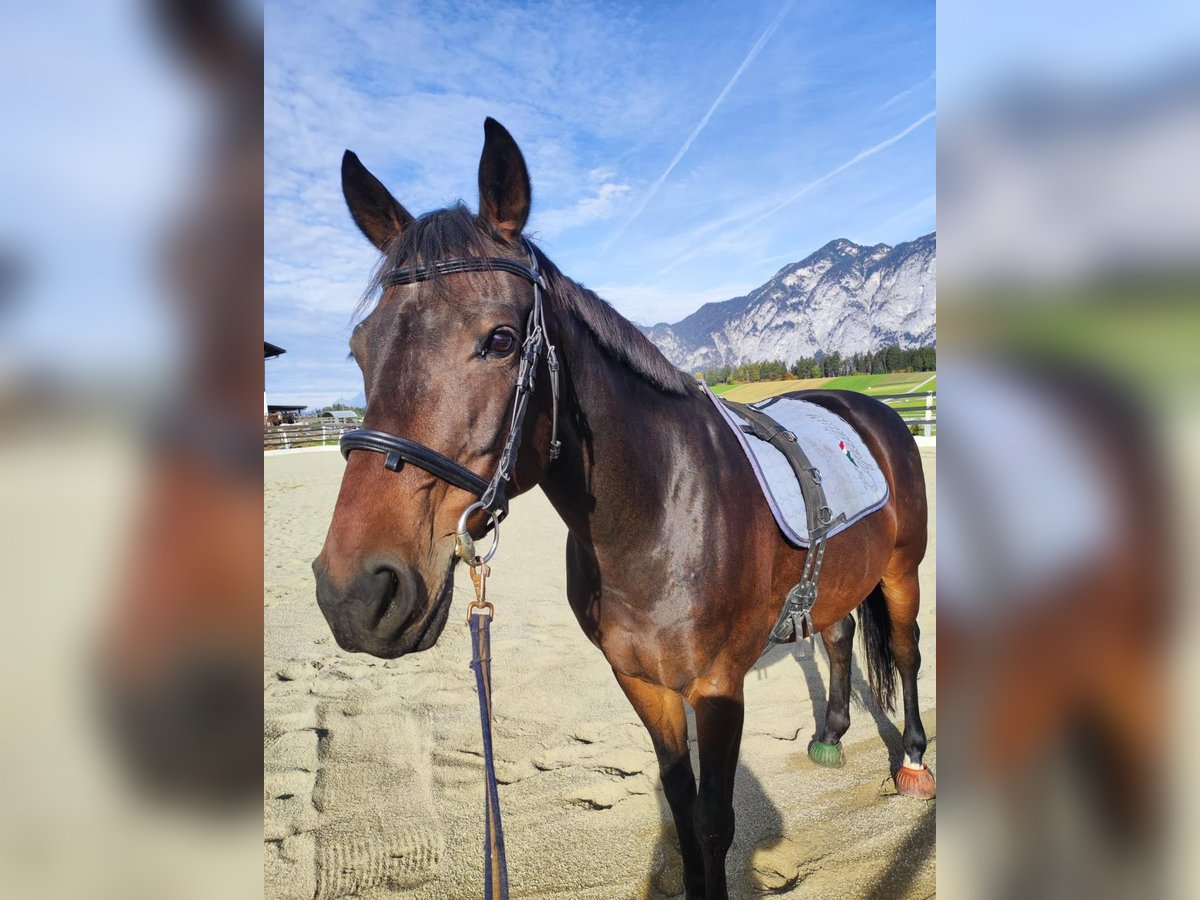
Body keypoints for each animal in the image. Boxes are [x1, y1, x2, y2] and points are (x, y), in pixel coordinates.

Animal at [313, 118, 934, 899]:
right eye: (359, 349)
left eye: (500, 339)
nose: (355, 593)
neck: (660, 515)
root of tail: (868, 408)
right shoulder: (641, 682)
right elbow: (680, 806)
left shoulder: (717, 686)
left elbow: (713, 821)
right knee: (841, 631)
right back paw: (829, 735)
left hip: (902, 572)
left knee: (907, 652)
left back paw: (912, 761)